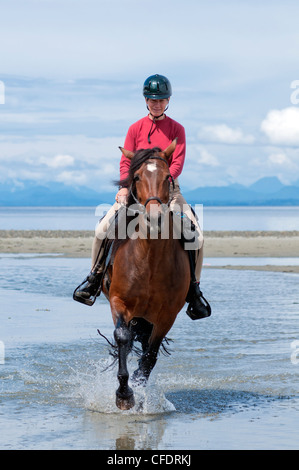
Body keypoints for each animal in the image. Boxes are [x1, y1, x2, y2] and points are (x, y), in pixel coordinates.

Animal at [102, 138, 191, 410]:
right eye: (137, 176)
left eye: (168, 176)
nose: (155, 217)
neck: (149, 258)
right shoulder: (119, 302)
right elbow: (122, 337)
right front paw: (123, 395)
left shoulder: (167, 315)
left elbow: (149, 356)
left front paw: (138, 391)